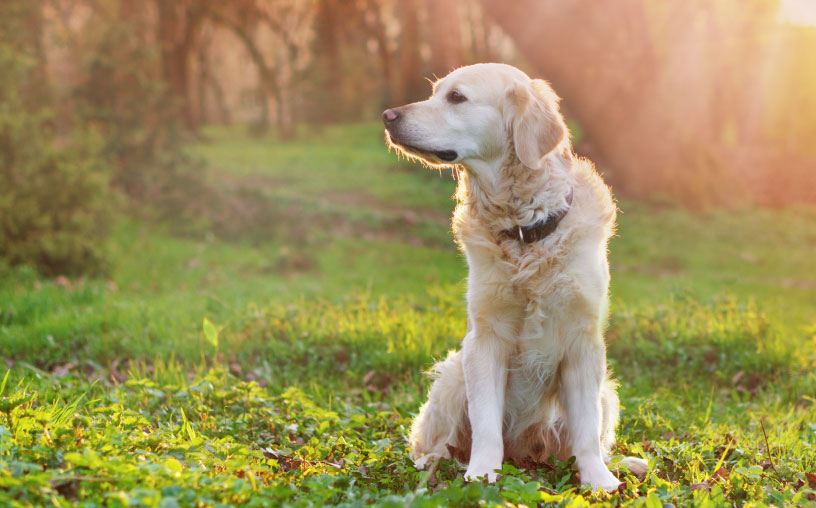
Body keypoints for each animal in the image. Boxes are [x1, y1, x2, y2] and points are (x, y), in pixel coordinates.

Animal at [384, 64, 652, 492]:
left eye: (456, 97)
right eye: (434, 93)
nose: (388, 116)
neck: (525, 231)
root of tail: (524, 454)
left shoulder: (584, 340)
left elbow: (586, 431)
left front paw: (598, 480)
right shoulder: (484, 338)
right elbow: (486, 424)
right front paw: (482, 473)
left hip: (607, 393)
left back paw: (625, 464)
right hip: (452, 375)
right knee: (439, 442)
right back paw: (432, 464)